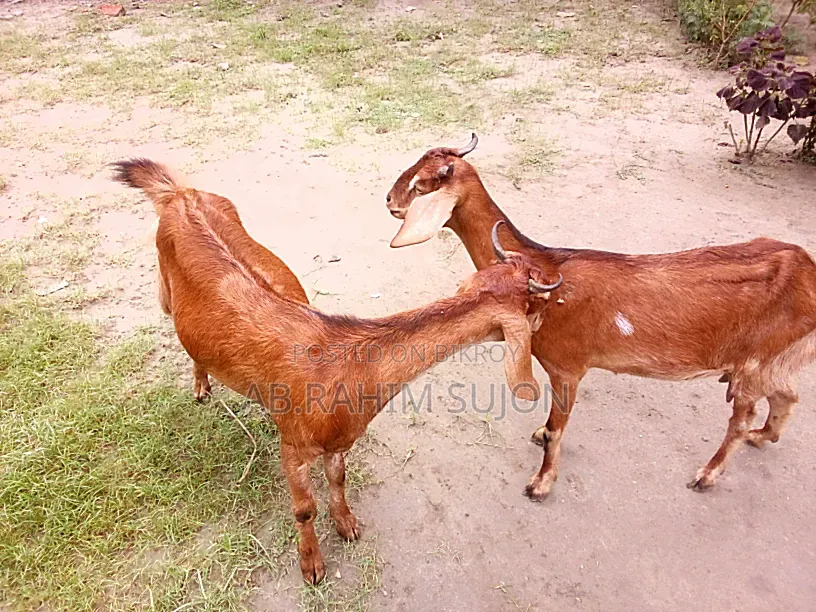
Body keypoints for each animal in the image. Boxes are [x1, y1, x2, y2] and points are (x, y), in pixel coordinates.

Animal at [113, 158, 556, 583]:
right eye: (538, 305)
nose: (549, 317)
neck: (350, 365)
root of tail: (180, 193)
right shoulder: (292, 444)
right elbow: (304, 509)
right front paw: (311, 565)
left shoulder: (339, 441)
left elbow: (339, 479)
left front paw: (347, 524)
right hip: (164, 291)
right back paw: (201, 385)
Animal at [385, 133, 816, 500]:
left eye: (421, 185)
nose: (388, 201)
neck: (547, 272)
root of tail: (808, 271)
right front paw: (538, 438)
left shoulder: (568, 368)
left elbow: (557, 429)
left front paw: (541, 484)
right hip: (776, 359)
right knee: (786, 395)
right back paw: (762, 437)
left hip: (754, 363)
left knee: (741, 419)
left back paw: (707, 475)